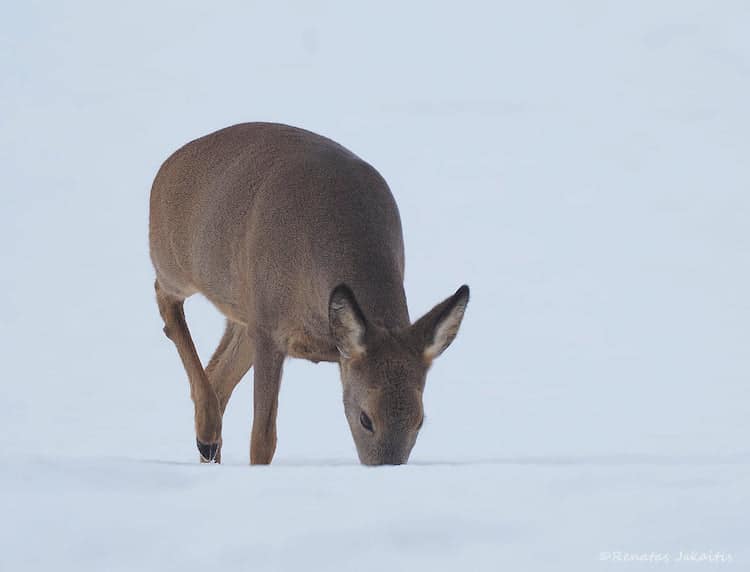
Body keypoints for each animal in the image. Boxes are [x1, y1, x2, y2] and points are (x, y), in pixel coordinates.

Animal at [151, 124, 470, 464]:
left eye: (420, 420)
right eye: (365, 418)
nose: (386, 468)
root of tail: (171, 162)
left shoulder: (312, 342)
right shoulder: (269, 329)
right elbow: (262, 439)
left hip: (243, 308)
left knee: (218, 374)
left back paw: (208, 440)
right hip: (176, 263)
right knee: (165, 298)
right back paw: (208, 431)